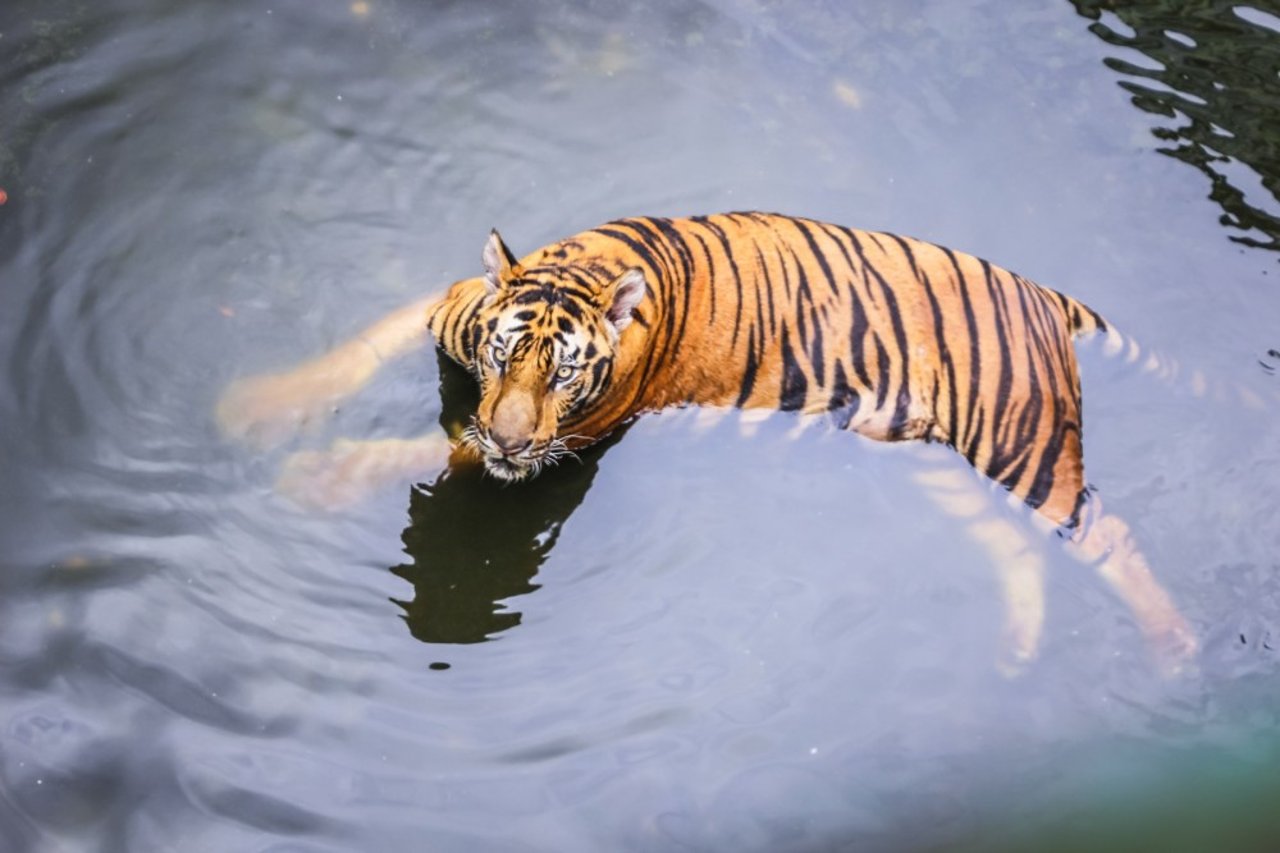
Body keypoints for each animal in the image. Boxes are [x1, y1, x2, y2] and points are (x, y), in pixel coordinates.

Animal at [215, 211, 1203, 671]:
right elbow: (365, 348)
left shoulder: (574, 439)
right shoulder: (448, 310)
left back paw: (1176, 648)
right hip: (938, 464)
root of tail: (1045, 294)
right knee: (1012, 548)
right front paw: (256, 405)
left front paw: (319, 475)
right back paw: (1017, 653)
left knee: (1104, 535)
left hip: (1025, 451)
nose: (512, 435)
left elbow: (447, 449)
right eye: (503, 352)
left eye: (565, 375)